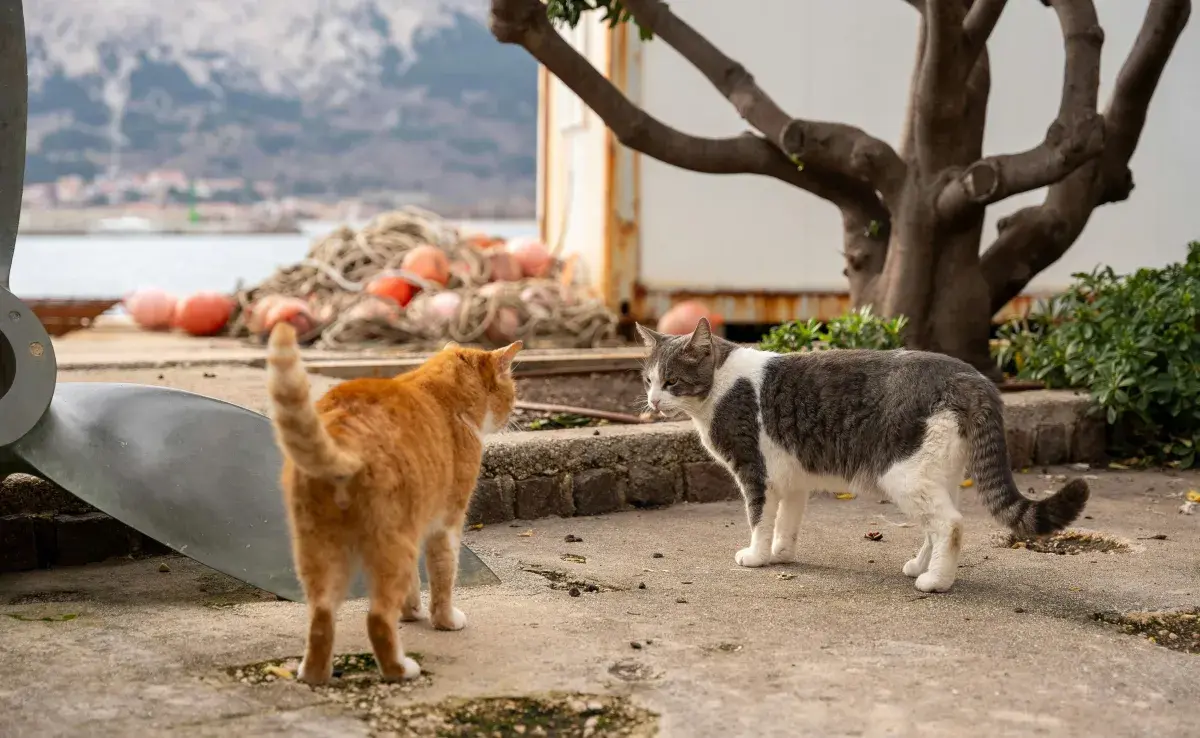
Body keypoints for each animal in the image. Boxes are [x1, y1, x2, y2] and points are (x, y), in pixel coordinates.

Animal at [267, 324, 520, 686]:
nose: (514, 411)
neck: (444, 394)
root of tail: (343, 432)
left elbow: (416, 584)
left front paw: (411, 612)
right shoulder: (445, 525)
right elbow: (443, 577)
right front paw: (444, 620)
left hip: (317, 548)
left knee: (321, 617)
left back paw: (314, 675)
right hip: (391, 546)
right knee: (377, 618)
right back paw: (400, 670)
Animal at [638, 319, 1089, 595]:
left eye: (672, 381)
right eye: (648, 379)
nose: (653, 402)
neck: (721, 383)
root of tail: (971, 376)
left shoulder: (754, 472)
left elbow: (759, 519)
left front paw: (756, 556)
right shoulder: (791, 479)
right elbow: (786, 522)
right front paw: (781, 553)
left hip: (904, 473)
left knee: (951, 525)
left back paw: (936, 582)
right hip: (937, 473)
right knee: (936, 524)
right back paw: (920, 566)